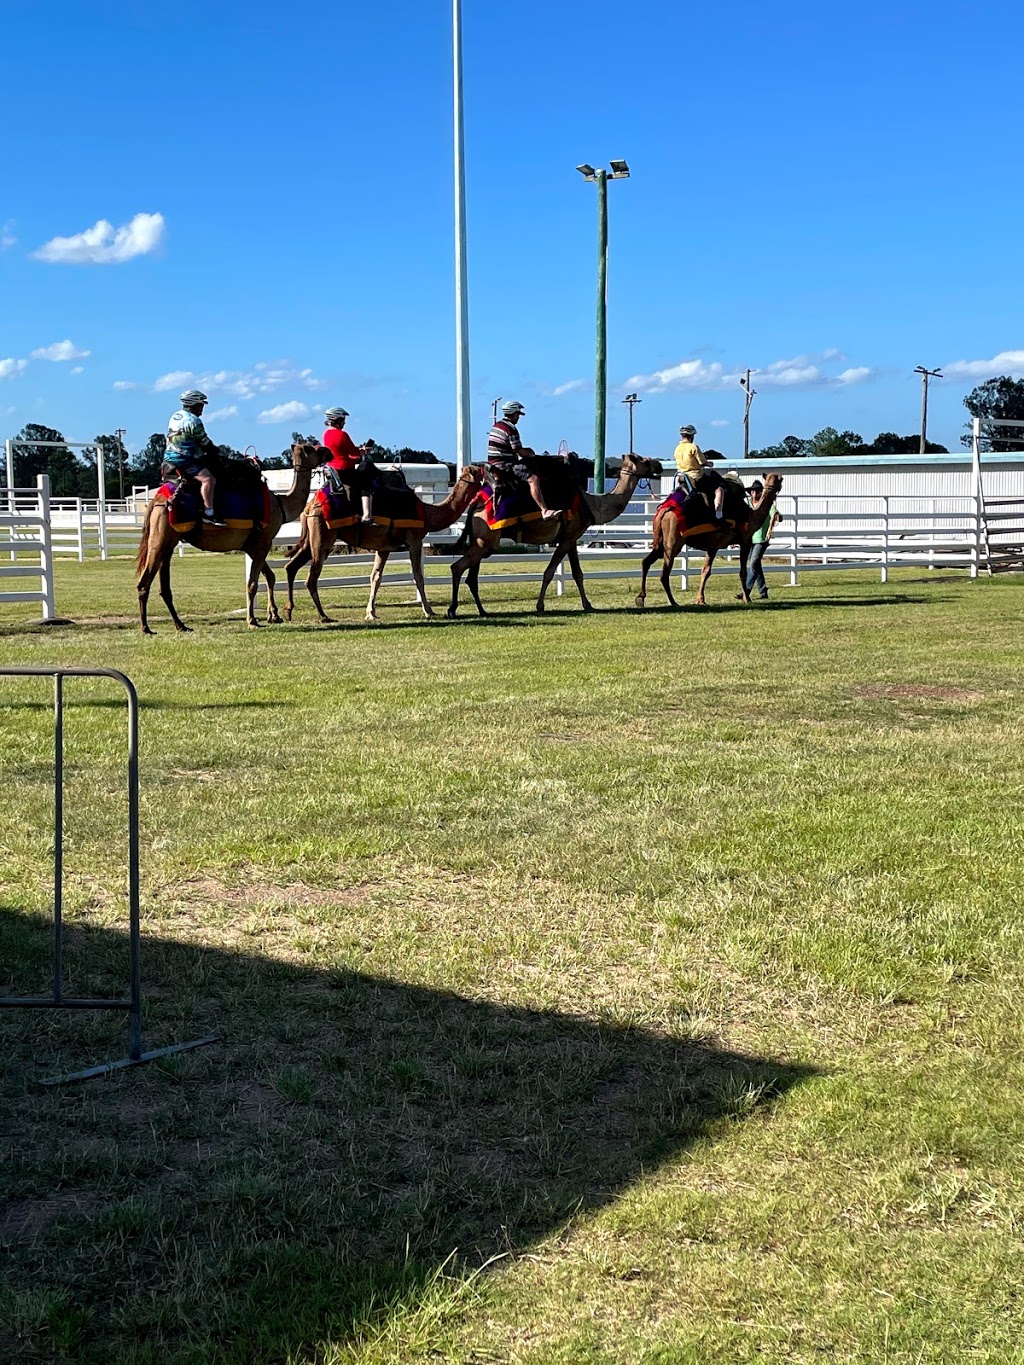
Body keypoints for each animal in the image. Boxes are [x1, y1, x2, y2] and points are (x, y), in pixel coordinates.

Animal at [134, 439, 322, 630]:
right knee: (144, 581)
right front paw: (252, 621)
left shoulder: (252, 546)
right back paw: (146, 628)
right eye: (312, 448)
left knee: (164, 586)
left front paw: (274, 615)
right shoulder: (263, 542)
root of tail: (156, 502)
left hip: (169, 542)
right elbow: (252, 584)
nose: (327, 452)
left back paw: (181, 625)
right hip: (160, 541)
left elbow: (270, 576)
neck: (280, 505)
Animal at [281, 464, 488, 625]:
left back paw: (289, 612)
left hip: (311, 539)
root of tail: (309, 506)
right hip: (323, 537)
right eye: (478, 471)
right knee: (311, 577)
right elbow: (418, 576)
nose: (487, 468)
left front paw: (370, 613)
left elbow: (376, 577)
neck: (429, 513)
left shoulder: (384, 548)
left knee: (291, 567)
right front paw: (429, 611)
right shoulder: (415, 540)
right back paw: (323, 616)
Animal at [447, 450, 666, 616]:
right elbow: (549, 572)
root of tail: (476, 504)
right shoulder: (568, 538)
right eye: (644, 460)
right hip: (487, 540)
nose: (660, 466)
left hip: (481, 541)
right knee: (457, 567)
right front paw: (540, 606)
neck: (592, 505)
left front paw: (588, 605)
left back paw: (482, 610)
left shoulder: (572, 538)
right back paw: (452, 609)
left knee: (472, 576)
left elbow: (578, 573)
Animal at [633, 475, 786, 614]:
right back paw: (673, 602)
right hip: (673, 542)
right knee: (664, 573)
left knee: (646, 561)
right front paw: (747, 599)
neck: (751, 515)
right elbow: (743, 572)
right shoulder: (745, 541)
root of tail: (665, 511)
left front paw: (700, 600)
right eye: (781, 479)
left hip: (660, 543)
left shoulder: (713, 546)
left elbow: (705, 571)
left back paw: (641, 598)